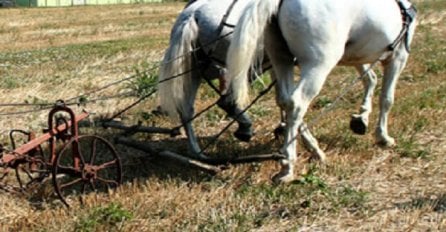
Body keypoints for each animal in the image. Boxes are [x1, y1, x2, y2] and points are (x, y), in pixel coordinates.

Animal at [159, 0, 268, 160]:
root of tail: (194, 13)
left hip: (194, 72)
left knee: (187, 111)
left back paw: (197, 153)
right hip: (233, 67)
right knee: (226, 101)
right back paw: (244, 128)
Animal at [226, 0, 418, 182]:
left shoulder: (356, 57)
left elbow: (370, 79)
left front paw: (361, 118)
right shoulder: (398, 57)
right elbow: (387, 99)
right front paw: (383, 137)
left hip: (280, 59)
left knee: (285, 100)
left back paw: (313, 150)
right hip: (317, 65)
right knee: (297, 104)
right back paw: (288, 166)